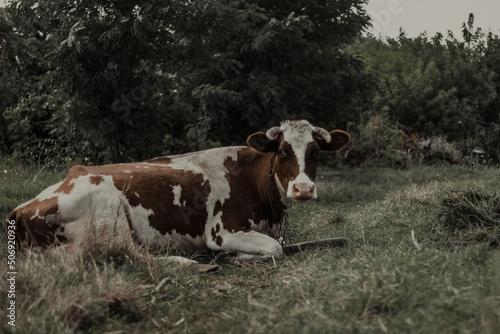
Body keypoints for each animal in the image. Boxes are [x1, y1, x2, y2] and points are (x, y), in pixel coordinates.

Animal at [4, 119, 348, 260]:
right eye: (283, 151)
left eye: (315, 152)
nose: (303, 189)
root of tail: (20, 208)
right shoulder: (221, 231)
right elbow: (275, 249)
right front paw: (237, 256)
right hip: (109, 212)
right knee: (134, 256)